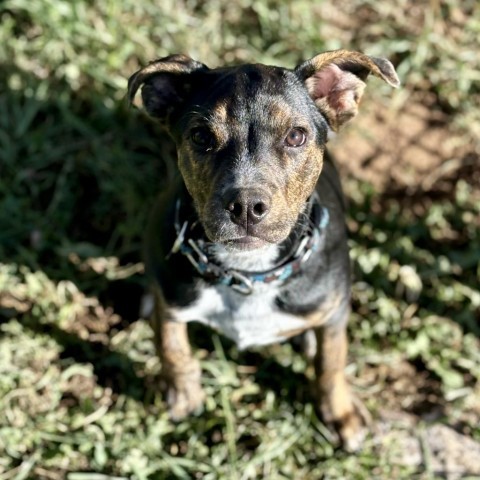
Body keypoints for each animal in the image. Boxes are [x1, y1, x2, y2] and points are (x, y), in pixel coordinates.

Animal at [126, 50, 398, 452]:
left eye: (296, 136)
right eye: (201, 136)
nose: (245, 206)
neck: (247, 273)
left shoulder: (334, 312)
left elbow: (331, 364)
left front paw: (341, 414)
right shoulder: (174, 300)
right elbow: (173, 348)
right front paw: (183, 395)